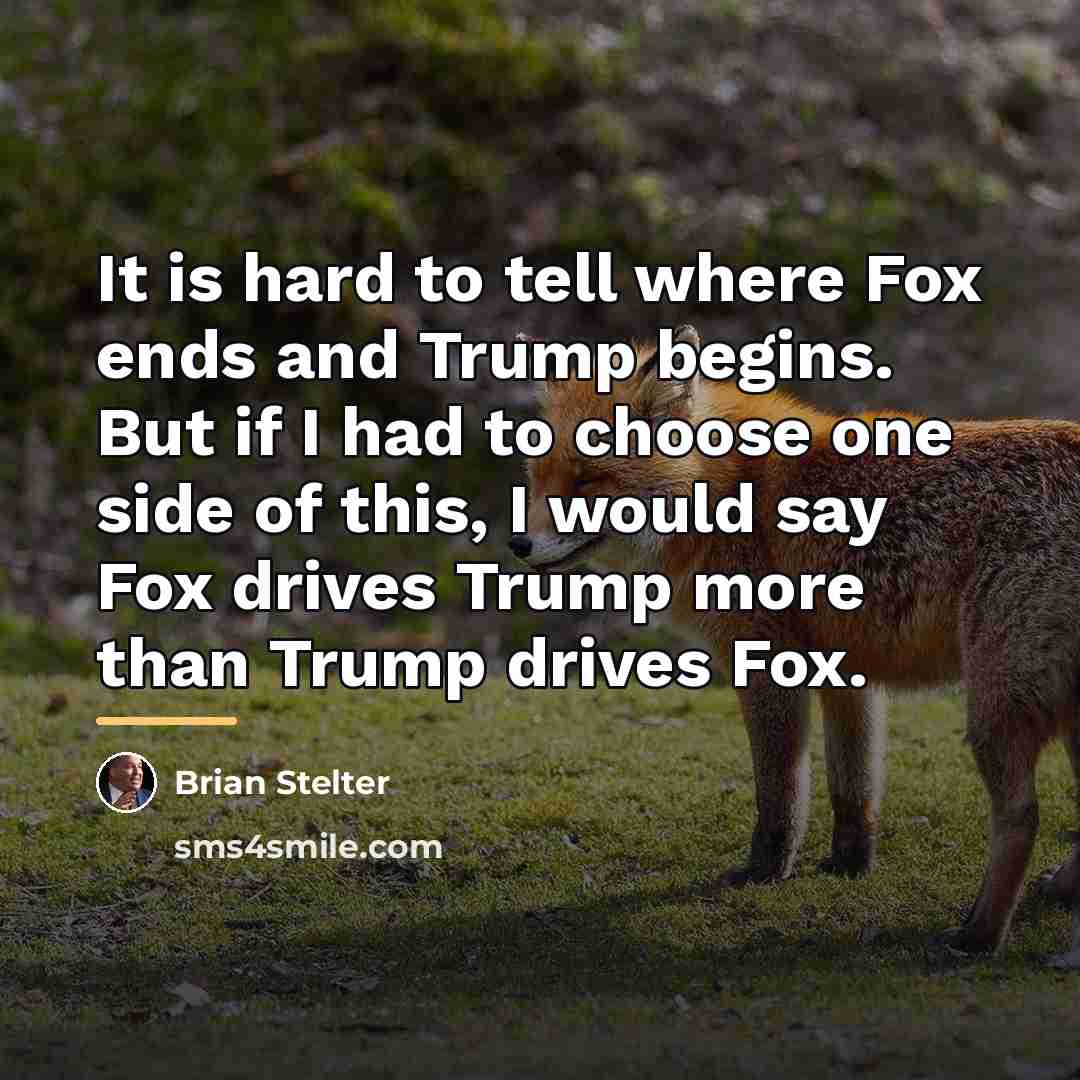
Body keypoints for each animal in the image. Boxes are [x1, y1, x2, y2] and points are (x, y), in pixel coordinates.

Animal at [509, 324, 1080, 957]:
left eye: (587, 479)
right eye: (538, 479)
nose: (518, 544)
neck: (718, 489)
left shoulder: (767, 657)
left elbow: (779, 790)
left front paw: (766, 871)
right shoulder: (845, 668)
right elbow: (853, 786)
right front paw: (850, 866)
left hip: (994, 706)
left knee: (1022, 816)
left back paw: (978, 935)